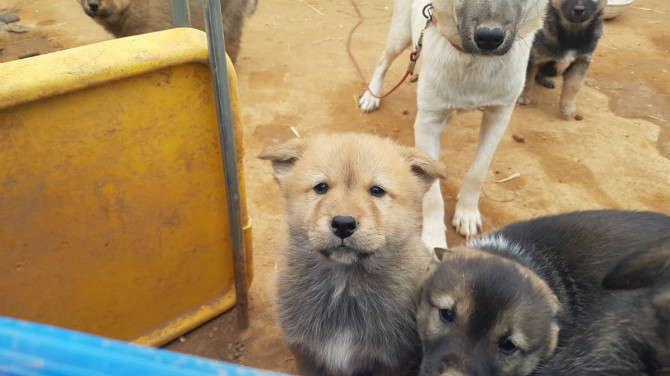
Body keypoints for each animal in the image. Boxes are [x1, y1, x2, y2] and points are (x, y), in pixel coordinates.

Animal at [260, 133, 448, 376]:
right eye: (321, 187)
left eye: (377, 190)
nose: (343, 224)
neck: (345, 286)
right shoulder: (306, 355)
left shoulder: (392, 362)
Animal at [364, 0, 548, 248]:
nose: (489, 38)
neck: (473, 60)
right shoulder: (427, 123)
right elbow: (432, 194)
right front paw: (433, 237)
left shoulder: (499, 116)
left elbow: (478, 172)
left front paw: (467, 212)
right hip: (400, 36)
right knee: (383, 61)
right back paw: (371, 95)